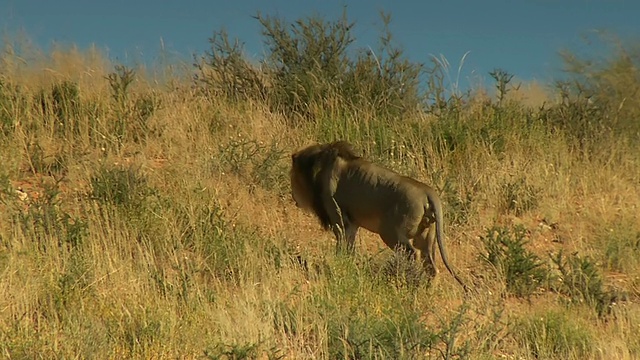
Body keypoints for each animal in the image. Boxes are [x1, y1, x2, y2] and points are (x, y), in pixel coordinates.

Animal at [292, 139, 470, 292]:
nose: (294, 197)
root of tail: (428, 191)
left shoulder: (338, 218)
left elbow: (342, 244)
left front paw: (338, 264)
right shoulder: (352, 223)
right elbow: (350, 246)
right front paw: (347, 264)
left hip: (391, 232)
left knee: (413, 254)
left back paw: (409, 282)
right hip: (426, 237)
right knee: (432, 267)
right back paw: (427, 290)